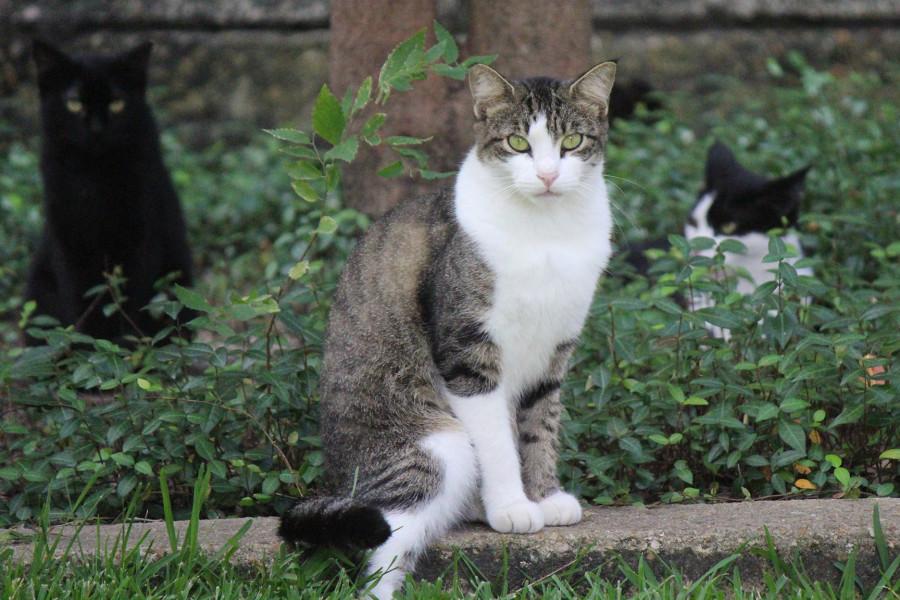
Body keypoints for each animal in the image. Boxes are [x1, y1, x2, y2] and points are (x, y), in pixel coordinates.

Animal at [24, 39, 193, 344]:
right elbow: (80, 301)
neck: (95, 176)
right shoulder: (68, 240)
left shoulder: (140, 239)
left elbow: (128, 302)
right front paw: (91, 348)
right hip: (37, 291)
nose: (96, 129)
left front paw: (125, 347)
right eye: (74, 102)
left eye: (117, 103)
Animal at [282, 63, 620, 596]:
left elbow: (539, 428)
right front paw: (513, 507)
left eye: (571, 140)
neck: (546, 234)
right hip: (436, 447)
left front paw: (544, 495)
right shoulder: (468, 352)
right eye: (517, 143)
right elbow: (497, 442)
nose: (547, 175)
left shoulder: (554, 351)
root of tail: (339, 480)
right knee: (386, 547)